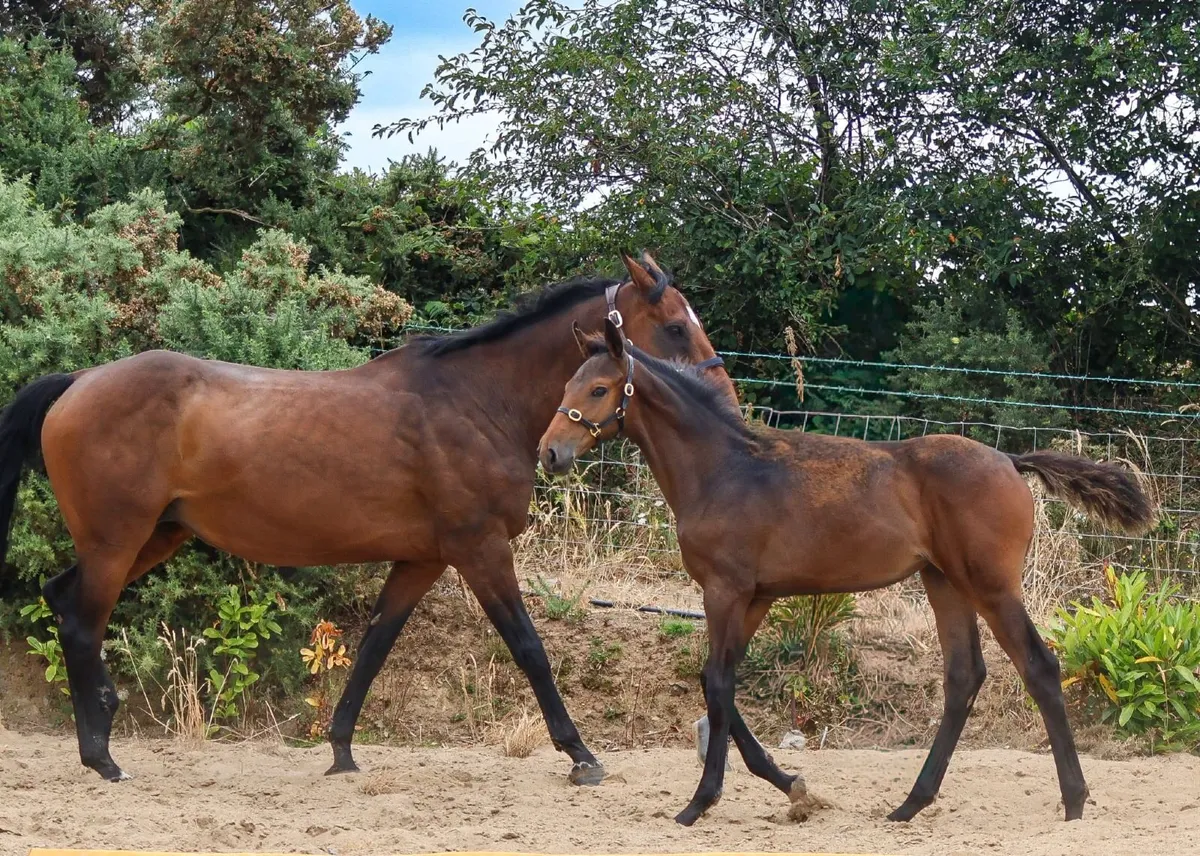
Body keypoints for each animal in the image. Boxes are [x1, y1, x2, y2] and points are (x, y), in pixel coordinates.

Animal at [0, 252, 733, 785]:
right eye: (674, 325)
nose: (723, 399)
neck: (474, 401)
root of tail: (78, 381)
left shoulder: (424, 558)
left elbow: (376, 645)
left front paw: (342, 751)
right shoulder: (480, 550)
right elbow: (529, 648)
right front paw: (581, 755)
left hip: (152, 536)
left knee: (61, 600)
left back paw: (97, 739)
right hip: (117, 540)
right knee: (80, 621)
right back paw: (103, 756)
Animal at [538, 319, 1155, 826]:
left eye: (598, 389)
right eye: (566, 386)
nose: (549, 453)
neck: (723, 470)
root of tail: (1010, 459)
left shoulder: (724, 590)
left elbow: (717, 684)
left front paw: (700, 802)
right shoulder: (755, 596)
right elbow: (722, 681)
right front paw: (790, 785)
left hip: (990, 585)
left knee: (1038, 666)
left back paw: (1073, 801)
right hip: (944, 582)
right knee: (964, 676)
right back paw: (910, 804)